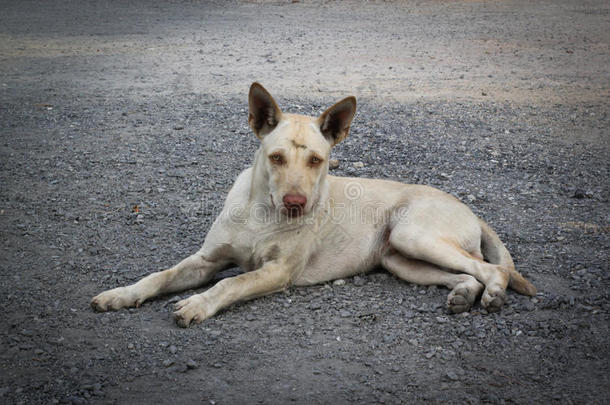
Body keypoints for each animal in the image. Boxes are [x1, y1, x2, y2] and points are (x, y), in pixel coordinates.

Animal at [90, 81, 532, 326]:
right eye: (276, 157)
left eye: (317, 160)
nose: (296, 202)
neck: (262, 212)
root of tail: (469, 209)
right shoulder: (205, 260)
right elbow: (159, 276)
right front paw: (121, 295)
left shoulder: (276, 272)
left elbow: (231, 282)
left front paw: (198, 304)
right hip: (400, 259)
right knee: (465, 275)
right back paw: (463, 295)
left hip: (415, 235)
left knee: (492, 269)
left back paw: (494, 294)